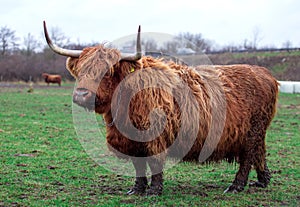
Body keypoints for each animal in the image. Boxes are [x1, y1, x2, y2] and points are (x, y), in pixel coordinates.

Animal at [44, 21, 278, 196]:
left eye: (108, 72)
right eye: (81, 69)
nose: (81, 94)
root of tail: (264, 73)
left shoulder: (155, 136)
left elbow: (155, 163)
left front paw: (154, 191)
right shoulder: (131, 140)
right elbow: (138, 165)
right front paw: (137, 189)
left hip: (251, 132)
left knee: (247, 158)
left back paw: (236, 186)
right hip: (257, 132)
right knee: (260, 152)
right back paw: (262, 181)